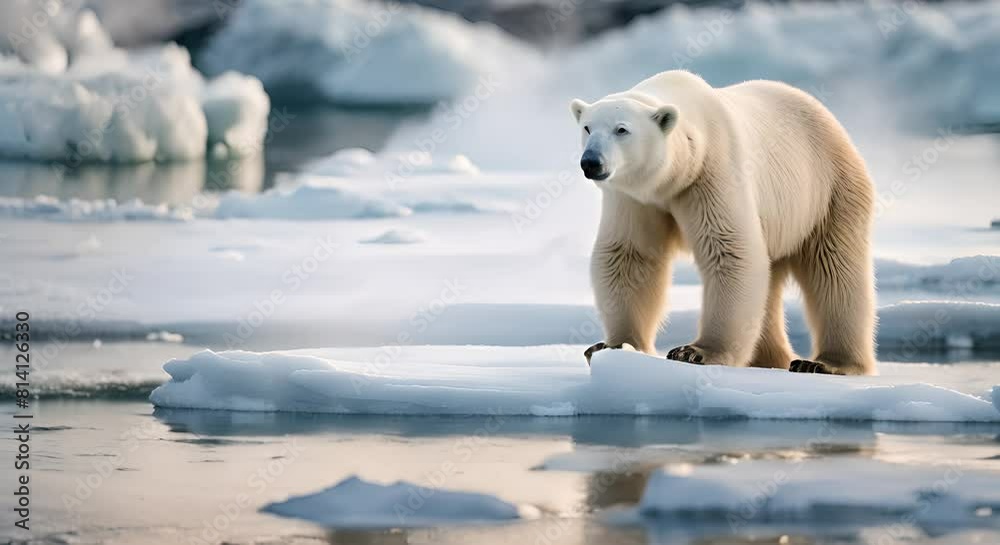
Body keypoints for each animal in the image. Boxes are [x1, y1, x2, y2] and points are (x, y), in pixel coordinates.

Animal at [571, 70, 876, 376]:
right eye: (587, 128)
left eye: (621, 129)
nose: (591, 162)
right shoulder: (634, 198)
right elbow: (629, 256)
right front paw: (612, 346)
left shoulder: (712, 171)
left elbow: (730, 250)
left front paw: (695, 352)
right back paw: (770, 357)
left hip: (828, 191)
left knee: (834, 269)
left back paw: (824, 362)